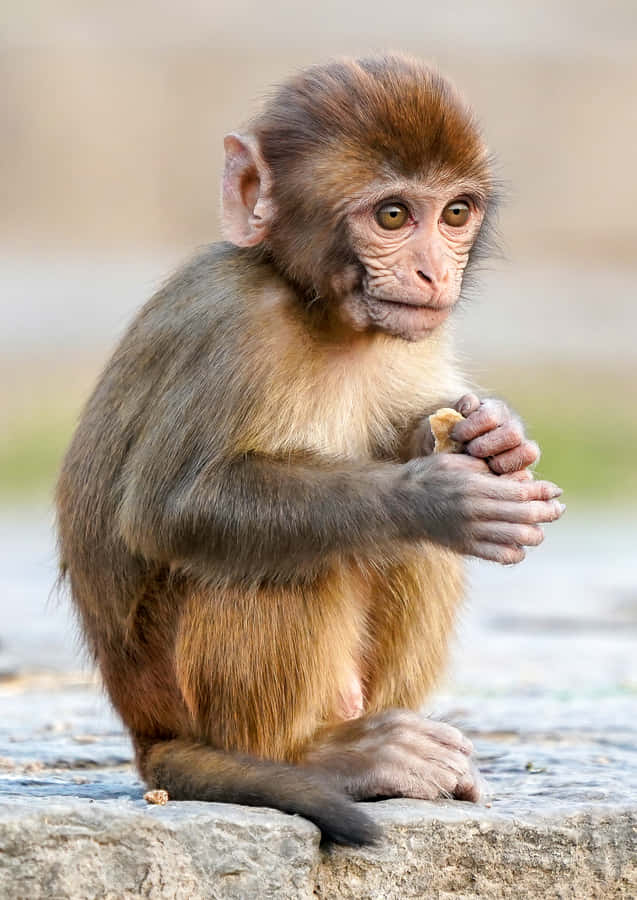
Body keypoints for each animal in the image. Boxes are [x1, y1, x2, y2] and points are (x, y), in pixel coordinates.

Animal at [56, 55, 565, 846]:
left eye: (454, 214)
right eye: (393, 216)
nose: (433, 272)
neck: (318, 308)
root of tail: (148, 737)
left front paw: (495, 435)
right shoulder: (233, 327)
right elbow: (174, 511)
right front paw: (435, 496)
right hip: (178, 695)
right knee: (284, 558)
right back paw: (316, 758)